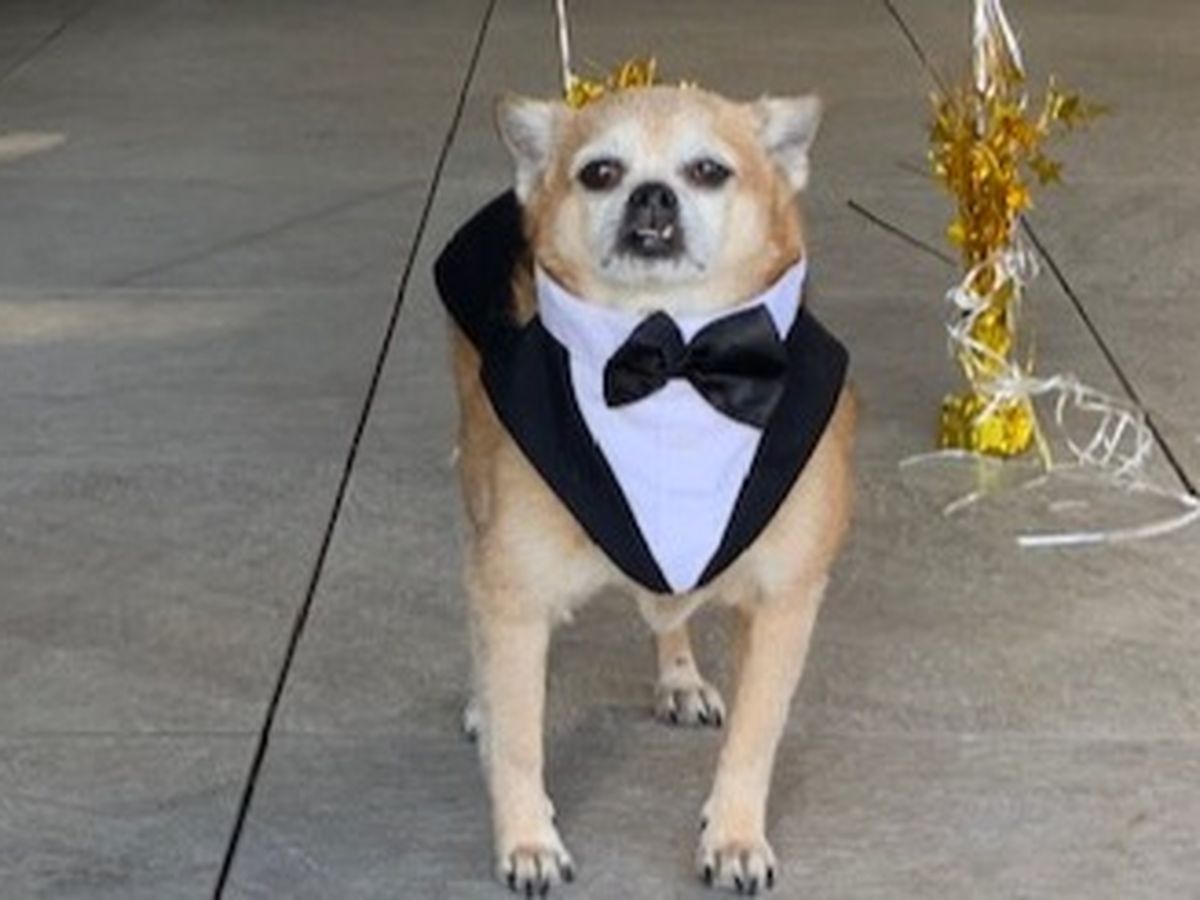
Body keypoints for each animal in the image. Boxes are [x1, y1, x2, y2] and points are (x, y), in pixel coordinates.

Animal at [441, 84, 855, 895]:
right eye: (600, 172)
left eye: (708, 171)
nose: (652, 194)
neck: (669, 354)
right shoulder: (513, 594)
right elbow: (520, 740)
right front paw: (528, 839)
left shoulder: (785, 603)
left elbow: (757, 735)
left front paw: (734, 836)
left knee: (670, 612)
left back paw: (680, 678)